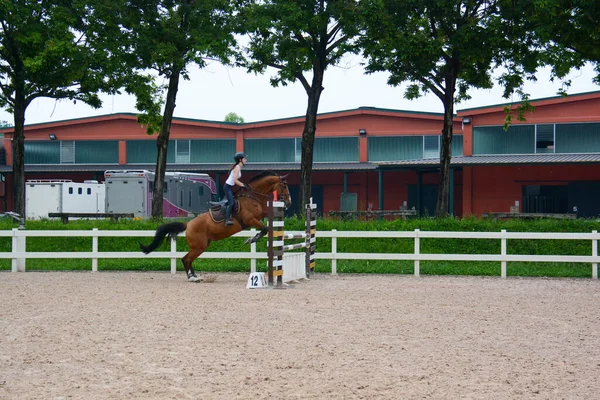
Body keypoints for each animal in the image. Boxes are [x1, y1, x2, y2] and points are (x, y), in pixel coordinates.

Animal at [141, 171, 290, 282]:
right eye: (284, 185)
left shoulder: (259, 216)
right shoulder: (250, 220)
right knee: (186, 259)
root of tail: (188, 224)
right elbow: (264, 229)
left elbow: (265, 224)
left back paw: (194, 276)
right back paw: (192, 278)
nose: (289, 203)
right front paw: (251, 239)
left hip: (202, 246)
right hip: (199, 246)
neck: (251, 197)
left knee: (187, 259)